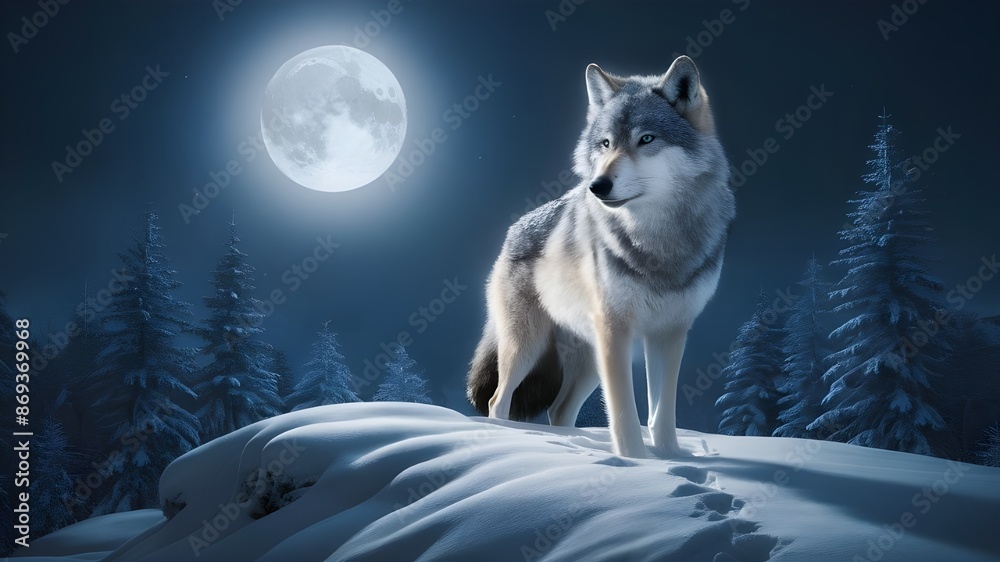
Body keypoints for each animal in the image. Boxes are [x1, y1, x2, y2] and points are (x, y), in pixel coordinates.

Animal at [466, 56, 734, 458]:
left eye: (646, 139)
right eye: (606, 143)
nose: (597, 186)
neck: (658, 243)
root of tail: (512, 231)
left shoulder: (670, 333)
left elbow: (661, 416)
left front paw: (668, 459)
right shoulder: (616, 332)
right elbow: (624, 414)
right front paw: (637, 462)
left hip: (588, 360)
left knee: (559, 411)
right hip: (527, 347)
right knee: (499, 401)